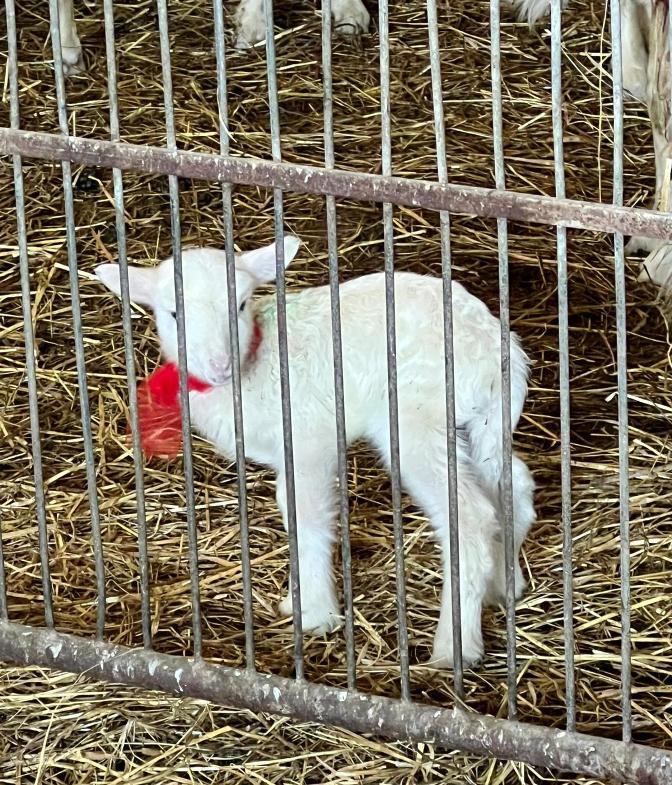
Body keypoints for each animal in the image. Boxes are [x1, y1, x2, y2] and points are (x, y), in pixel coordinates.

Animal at [95, 234, 536, 668]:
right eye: (174, 313)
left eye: (240, 303)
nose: (220, 365)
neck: (256, 364)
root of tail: (496, 348)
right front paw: (299, 600)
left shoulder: (309, 441)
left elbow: (306, 517)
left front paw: (316, 613)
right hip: (485, 421)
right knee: (513, 489)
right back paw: (504, 584)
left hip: (418, 418)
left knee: (470, 518)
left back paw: (453, 646)